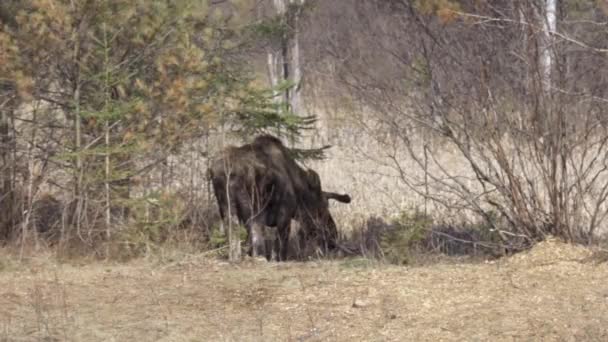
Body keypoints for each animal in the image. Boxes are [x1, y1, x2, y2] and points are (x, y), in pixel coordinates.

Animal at [209, 135, 352, 260]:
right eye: (323, 208)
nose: (333, 235)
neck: (298, 189)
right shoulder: (285, 214)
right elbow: (281, 245)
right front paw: (278, 259)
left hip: (226, 206)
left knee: (233, 232)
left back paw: (235, 258)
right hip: (252, 206)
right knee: (254, 233)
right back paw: (258, 257)